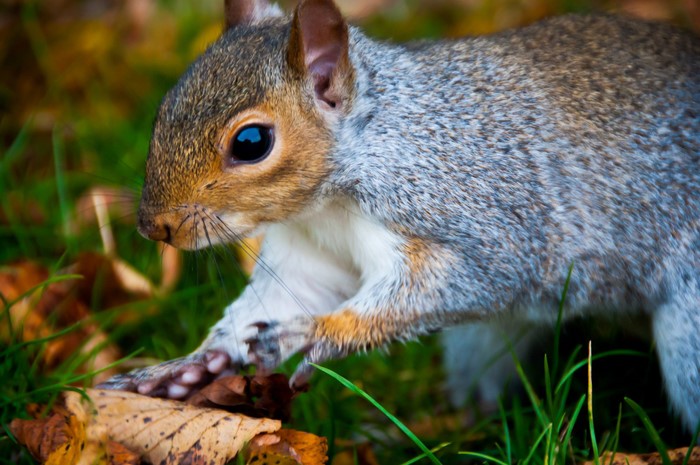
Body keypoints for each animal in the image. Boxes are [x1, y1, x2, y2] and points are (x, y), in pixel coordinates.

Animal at [99, 0, 700, 431]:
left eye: (251, 142)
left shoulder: (485, 218)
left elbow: (472, 279)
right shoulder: (310, 254)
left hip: (689, 332)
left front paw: (318, 332)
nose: (153, 226)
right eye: (166, 105)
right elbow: (286, 296)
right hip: (479, 345)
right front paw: (197, 363)